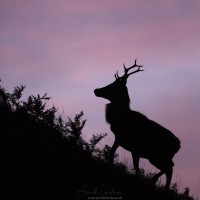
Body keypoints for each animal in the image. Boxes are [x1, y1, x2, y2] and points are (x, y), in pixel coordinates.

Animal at [94, 59, 181, 191]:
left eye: (113, 86)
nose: (96, 90)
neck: (118, 117)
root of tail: (178, 146)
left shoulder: (121, 138)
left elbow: (111, 154)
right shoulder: (134, 150)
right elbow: (136, 168)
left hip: (156, 155)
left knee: (169, 168)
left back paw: (155, 182)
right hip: (160, 156)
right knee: (170, 168)